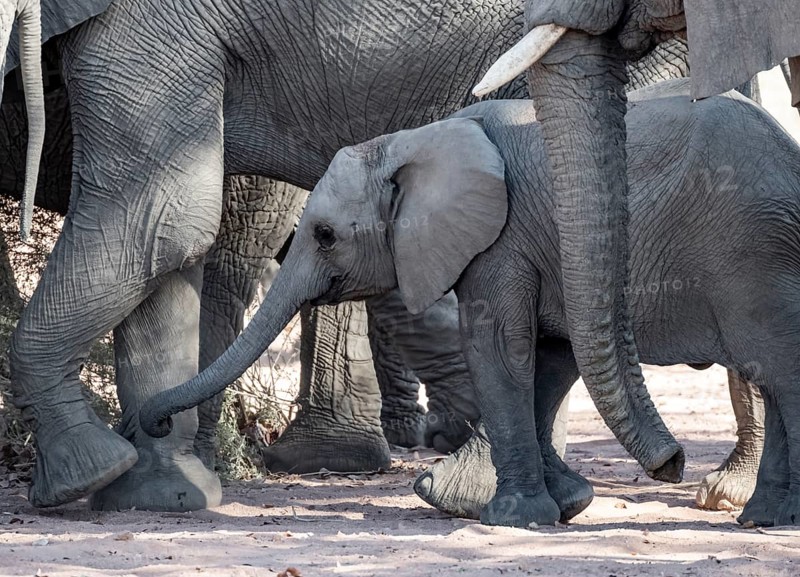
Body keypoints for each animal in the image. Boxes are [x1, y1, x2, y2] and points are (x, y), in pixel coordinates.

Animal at [142, 78, 800, 528]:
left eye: (325, 235)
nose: (151, 422)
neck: (413, 140)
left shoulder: (502, 239)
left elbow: (503, 349)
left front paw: (511, 518)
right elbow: (548, 357)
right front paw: (566, 503)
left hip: (750, 250)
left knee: (777, 369)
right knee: (774, 374)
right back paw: (766, 518)